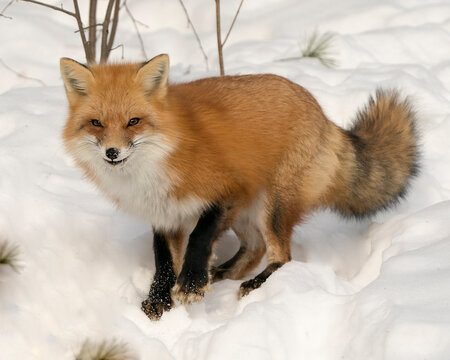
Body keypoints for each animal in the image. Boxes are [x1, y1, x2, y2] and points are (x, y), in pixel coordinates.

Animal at [59, 54, 418, 320]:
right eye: (96, 123)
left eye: (133, 121)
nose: (112, 152)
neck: (158, 161)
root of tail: (324, 115)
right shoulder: (163, 213)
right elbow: (163, 260)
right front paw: (160, 297)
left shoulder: (229, 190)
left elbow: (200, 237)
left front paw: (191, 282)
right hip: (249, 214)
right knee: (254, 249)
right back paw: (219, 273)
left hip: (270, 207)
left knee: (282, 256)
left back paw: (253, 283)